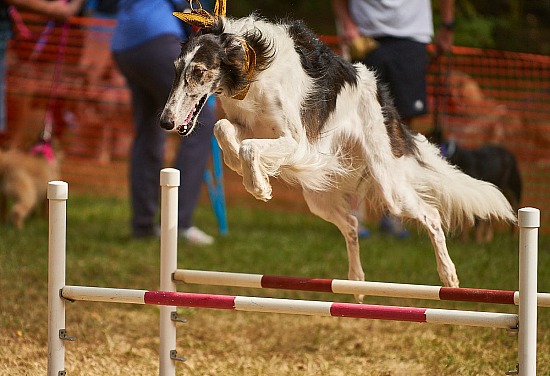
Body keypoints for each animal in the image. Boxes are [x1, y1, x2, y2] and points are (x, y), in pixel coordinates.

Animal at [160, 10, 516, 302]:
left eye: (199, 72)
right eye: (176, 70)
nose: (165, 122)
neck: (253, 62)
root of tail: (385, 99)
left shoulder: (299, 143)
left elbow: (248, 147)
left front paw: (259, 185)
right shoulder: (249, 126)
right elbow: (222, 128)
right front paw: (245, 170)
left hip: (389, 186)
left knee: (430, 216)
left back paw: (449, 276)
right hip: (320, 196)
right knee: (352, 223)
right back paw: (356, 282)